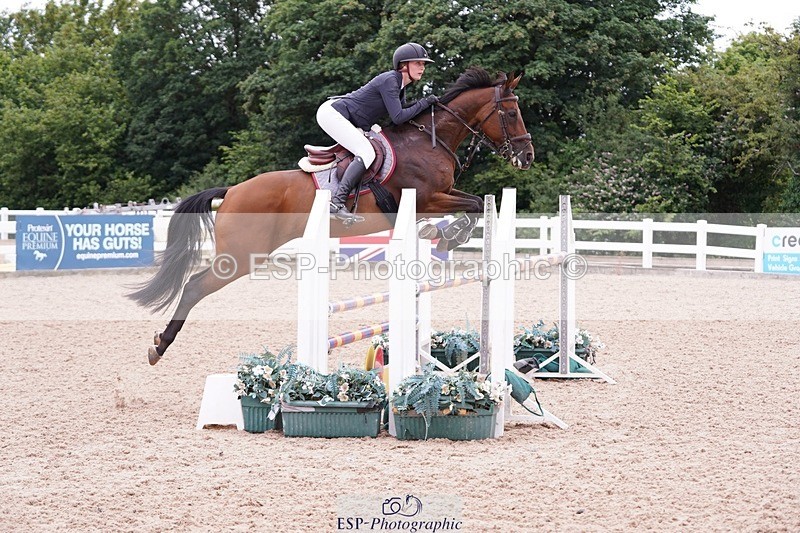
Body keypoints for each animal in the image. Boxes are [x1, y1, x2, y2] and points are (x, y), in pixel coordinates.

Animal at [128, 67, 535, 364]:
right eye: (512, 112)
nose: (527, 157)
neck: (428, 140)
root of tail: (232, 191)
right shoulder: (428, 198)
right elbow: (471, 206)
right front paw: (449, 238)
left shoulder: (435, 199)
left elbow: (473, 205)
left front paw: (442, 236)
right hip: (240, 256)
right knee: (195, 286)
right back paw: (159, 346)